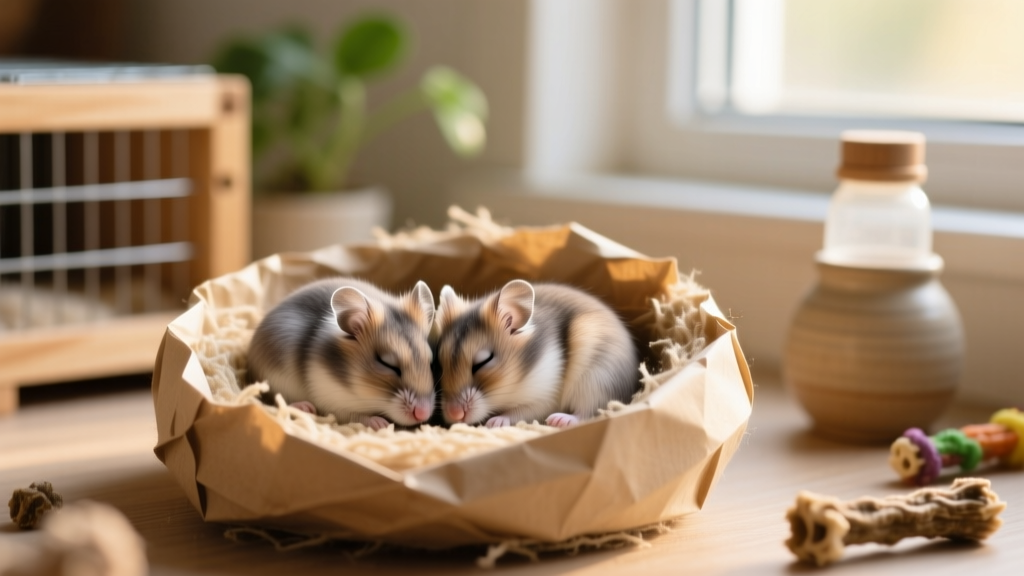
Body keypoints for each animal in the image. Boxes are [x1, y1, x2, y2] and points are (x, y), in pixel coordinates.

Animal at [247, 277, 436, 430]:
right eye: (387, 363)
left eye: (430, 362)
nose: (423, 414)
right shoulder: (329, 400)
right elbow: (353, 415)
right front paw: (380, 423)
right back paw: (305, 407)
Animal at [434, 279, 638, 428]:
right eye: (440, 365)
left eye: (483, 362)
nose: (454, 415)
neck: (519, 379)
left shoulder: (545, 397)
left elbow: (519, 412)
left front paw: (494, 422)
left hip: (596, 380)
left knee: (590, 412)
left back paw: (559, 420)